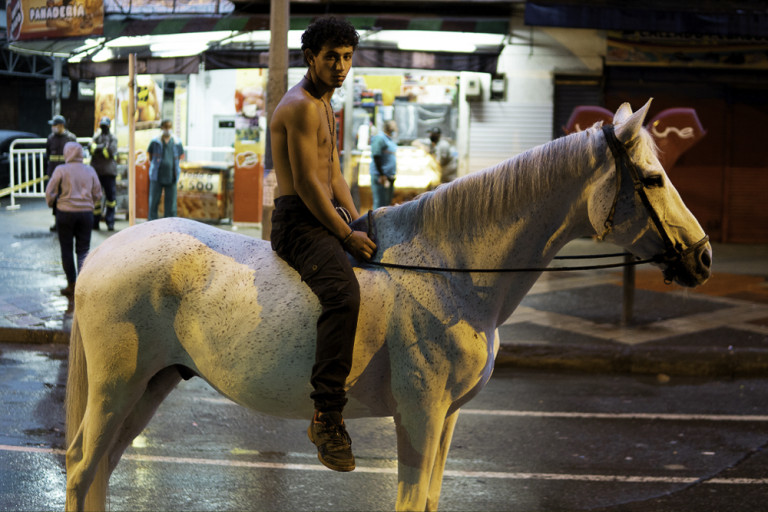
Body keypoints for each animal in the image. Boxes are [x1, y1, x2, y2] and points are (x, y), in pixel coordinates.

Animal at [63, 101, 712, 512]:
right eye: (652, 178)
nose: (703, 257)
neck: (453, 270)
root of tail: (103, 253)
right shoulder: (420, 416)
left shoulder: (446, 420)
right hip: (118, 387)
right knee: (80, 469)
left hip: (149, 387)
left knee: (98, 473)